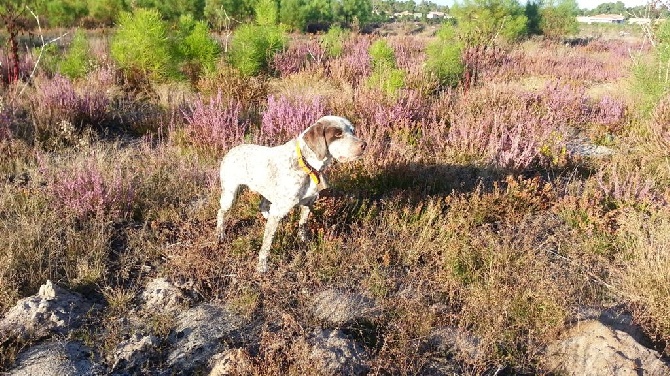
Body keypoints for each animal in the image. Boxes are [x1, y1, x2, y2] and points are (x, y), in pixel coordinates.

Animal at [217, 116, 368, 272]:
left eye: (353, 131)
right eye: (337, 133)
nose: (364, 145)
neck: (307, 165)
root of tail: (232, 150)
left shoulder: (308, 203)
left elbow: (302, 225)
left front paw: (304, 241)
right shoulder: (279, 209)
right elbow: (266, 245)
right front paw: (262, 266)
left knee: (263, 206)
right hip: (230, 195)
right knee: (221, 212)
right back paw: (220, 235)